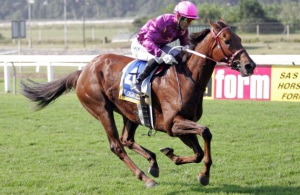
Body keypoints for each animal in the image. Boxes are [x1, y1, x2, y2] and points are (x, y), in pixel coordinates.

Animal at [21, 19, 255, 187]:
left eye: (239, 38)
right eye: (227, 41)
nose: (249, 65)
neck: (187, 77)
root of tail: (83, 70)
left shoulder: (179, 125)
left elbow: (198, 153)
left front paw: (173, 156)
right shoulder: (173, 123)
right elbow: (206, 132)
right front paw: (204, 175)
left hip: (130, 112)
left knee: (127, 139)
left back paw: (153, 162)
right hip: (101, 109)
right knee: (117, 145)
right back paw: (146, 178)